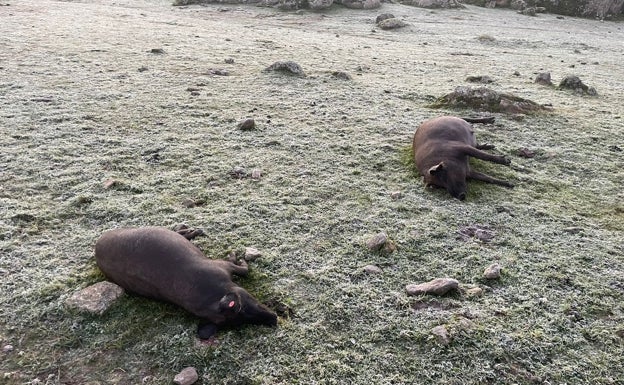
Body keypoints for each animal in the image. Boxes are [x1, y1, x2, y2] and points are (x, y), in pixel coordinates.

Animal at [93, 226, 278, 338]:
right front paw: (237, 254)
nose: (274, 319)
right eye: (243, 315)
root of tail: (97, 244)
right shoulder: (219, 265)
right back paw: (196, 231)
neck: (213, 294)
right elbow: (243, 269)